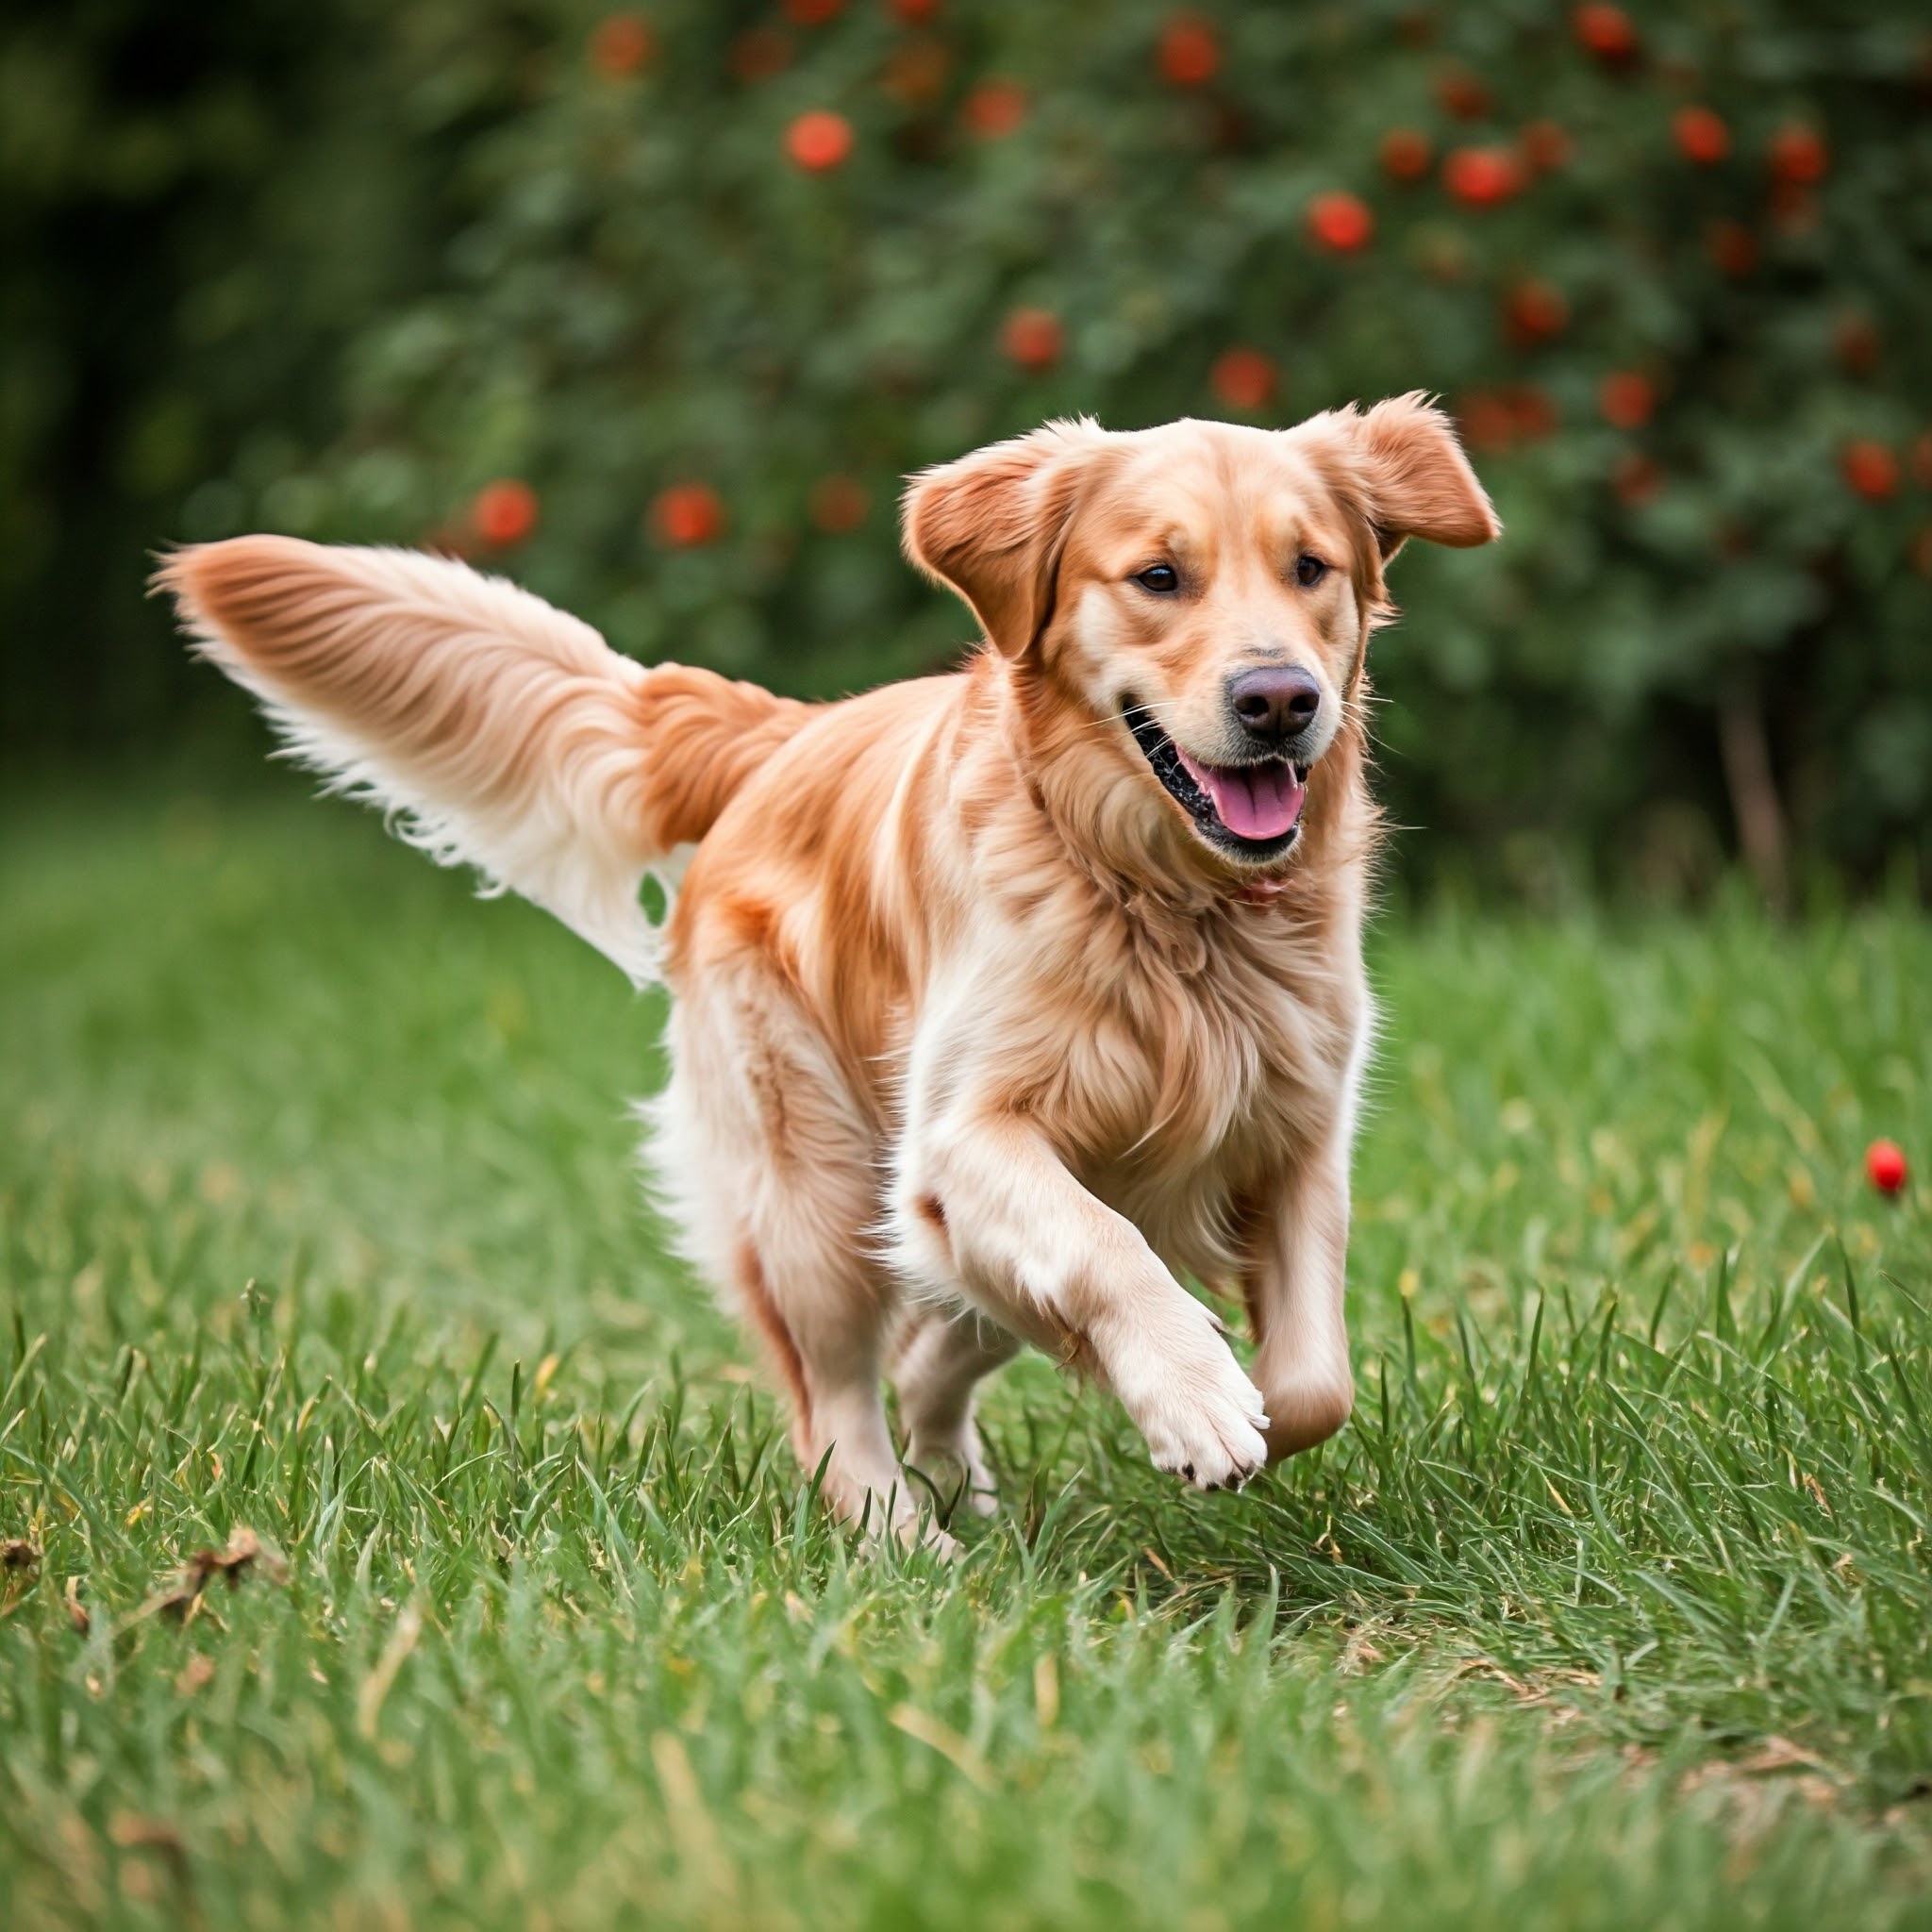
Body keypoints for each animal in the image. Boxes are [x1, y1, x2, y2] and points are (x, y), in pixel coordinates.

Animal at [162, 399, 1491, 1545]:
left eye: (1311, 567)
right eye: (1158, 576)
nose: (1280, 700)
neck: (1167, 905)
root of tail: (782, 731)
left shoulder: (1298, 1132)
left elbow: (1312, 1381)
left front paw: (1211, 1393)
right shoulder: (957, 1137)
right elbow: (1101, 1248)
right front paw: (1197, 1397)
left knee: (945, 1339)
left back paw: (959, 1466)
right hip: (815, 1183)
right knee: (837, 1400)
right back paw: (905, 1539)